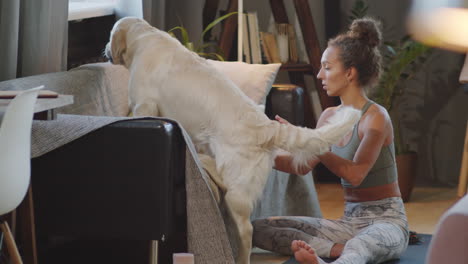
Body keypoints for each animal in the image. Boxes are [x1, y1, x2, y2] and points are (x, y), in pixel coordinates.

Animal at [106, 17, 362, 264]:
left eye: (109, 36)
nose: (105, 49)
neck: (144, 38)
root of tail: (267, 128)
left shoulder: (144, 103)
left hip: (237, 192)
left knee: (246, 230)